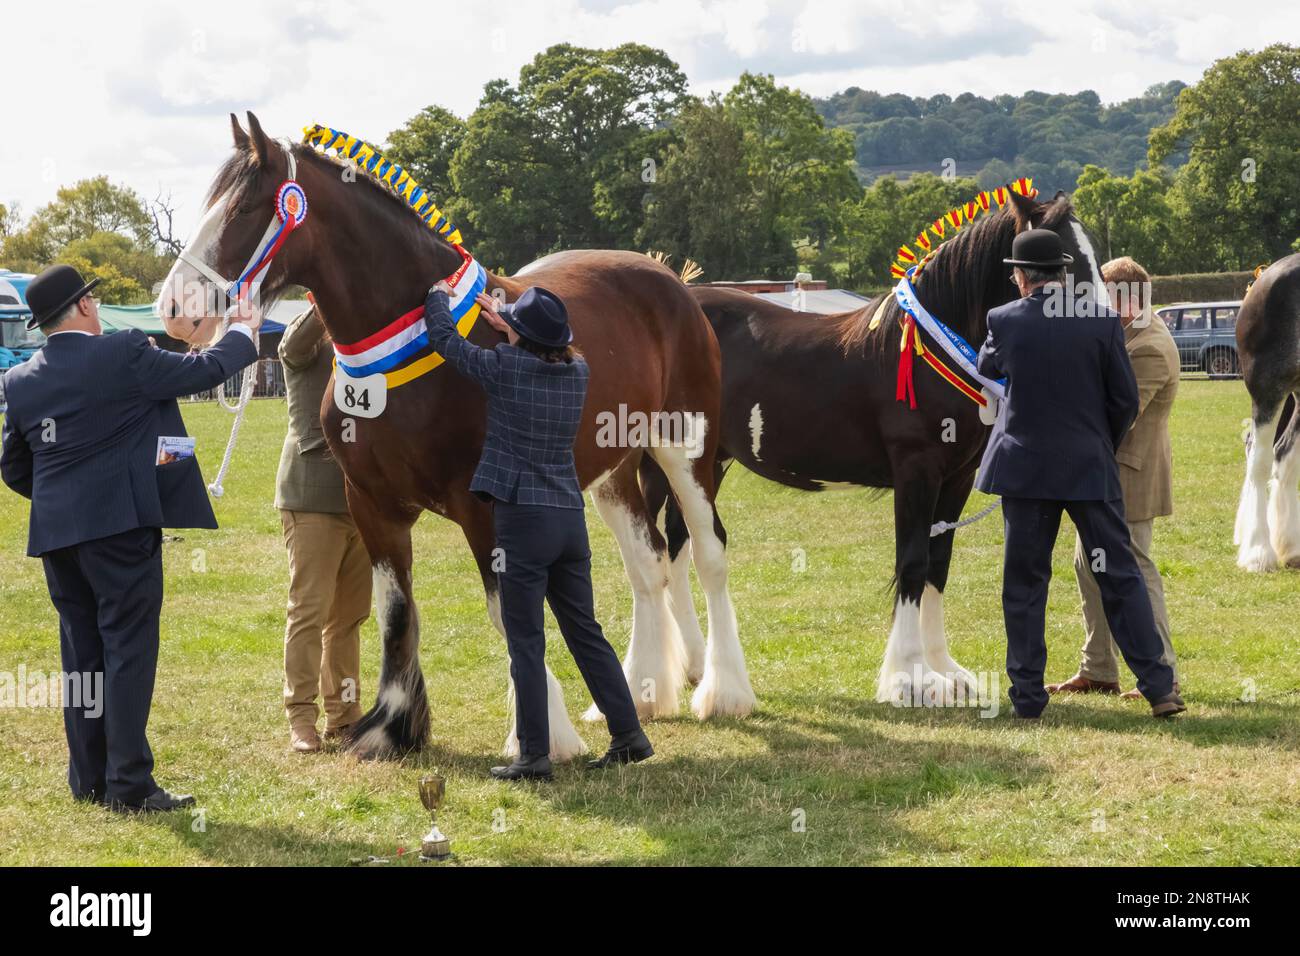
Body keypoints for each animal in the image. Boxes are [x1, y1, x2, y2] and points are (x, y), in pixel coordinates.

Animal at [155, 113, 752, 759]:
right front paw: (390, 728)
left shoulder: (484, 505)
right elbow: (396, 611)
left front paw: (542, 735)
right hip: (612, 469)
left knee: (708, 552)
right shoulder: (372, 507)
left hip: (685, 449)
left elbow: (508, 613)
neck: (413, 345)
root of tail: (669, 280)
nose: (174, 308)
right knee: (648, 564)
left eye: (244, 208)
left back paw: (724, 692)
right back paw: (641, 692)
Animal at [644, 186, 1107, 704]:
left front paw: (945, 670)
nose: (1108, 326)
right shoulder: (916, 471)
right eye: (1065, 262)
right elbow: (911, 563)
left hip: (708, 462)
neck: (932, 350)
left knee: (679, 542)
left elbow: (937, 565)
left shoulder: (956, 478)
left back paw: (696, 665)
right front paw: (909, 676)